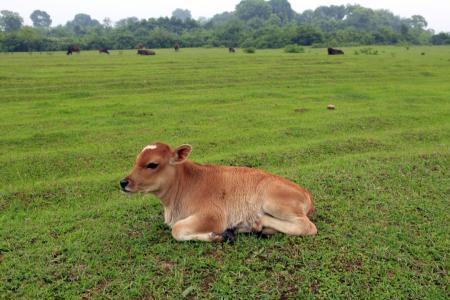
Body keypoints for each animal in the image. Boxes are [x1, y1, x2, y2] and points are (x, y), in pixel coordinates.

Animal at [119, 142, 316, 243]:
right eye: (136, 160)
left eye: (152, 164)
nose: (123, 182)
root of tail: (306, 193)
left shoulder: (214, 216)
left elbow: (177, 230)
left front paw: (218, 235)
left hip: (273, 202)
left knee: (307, 226)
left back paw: (257, 223)